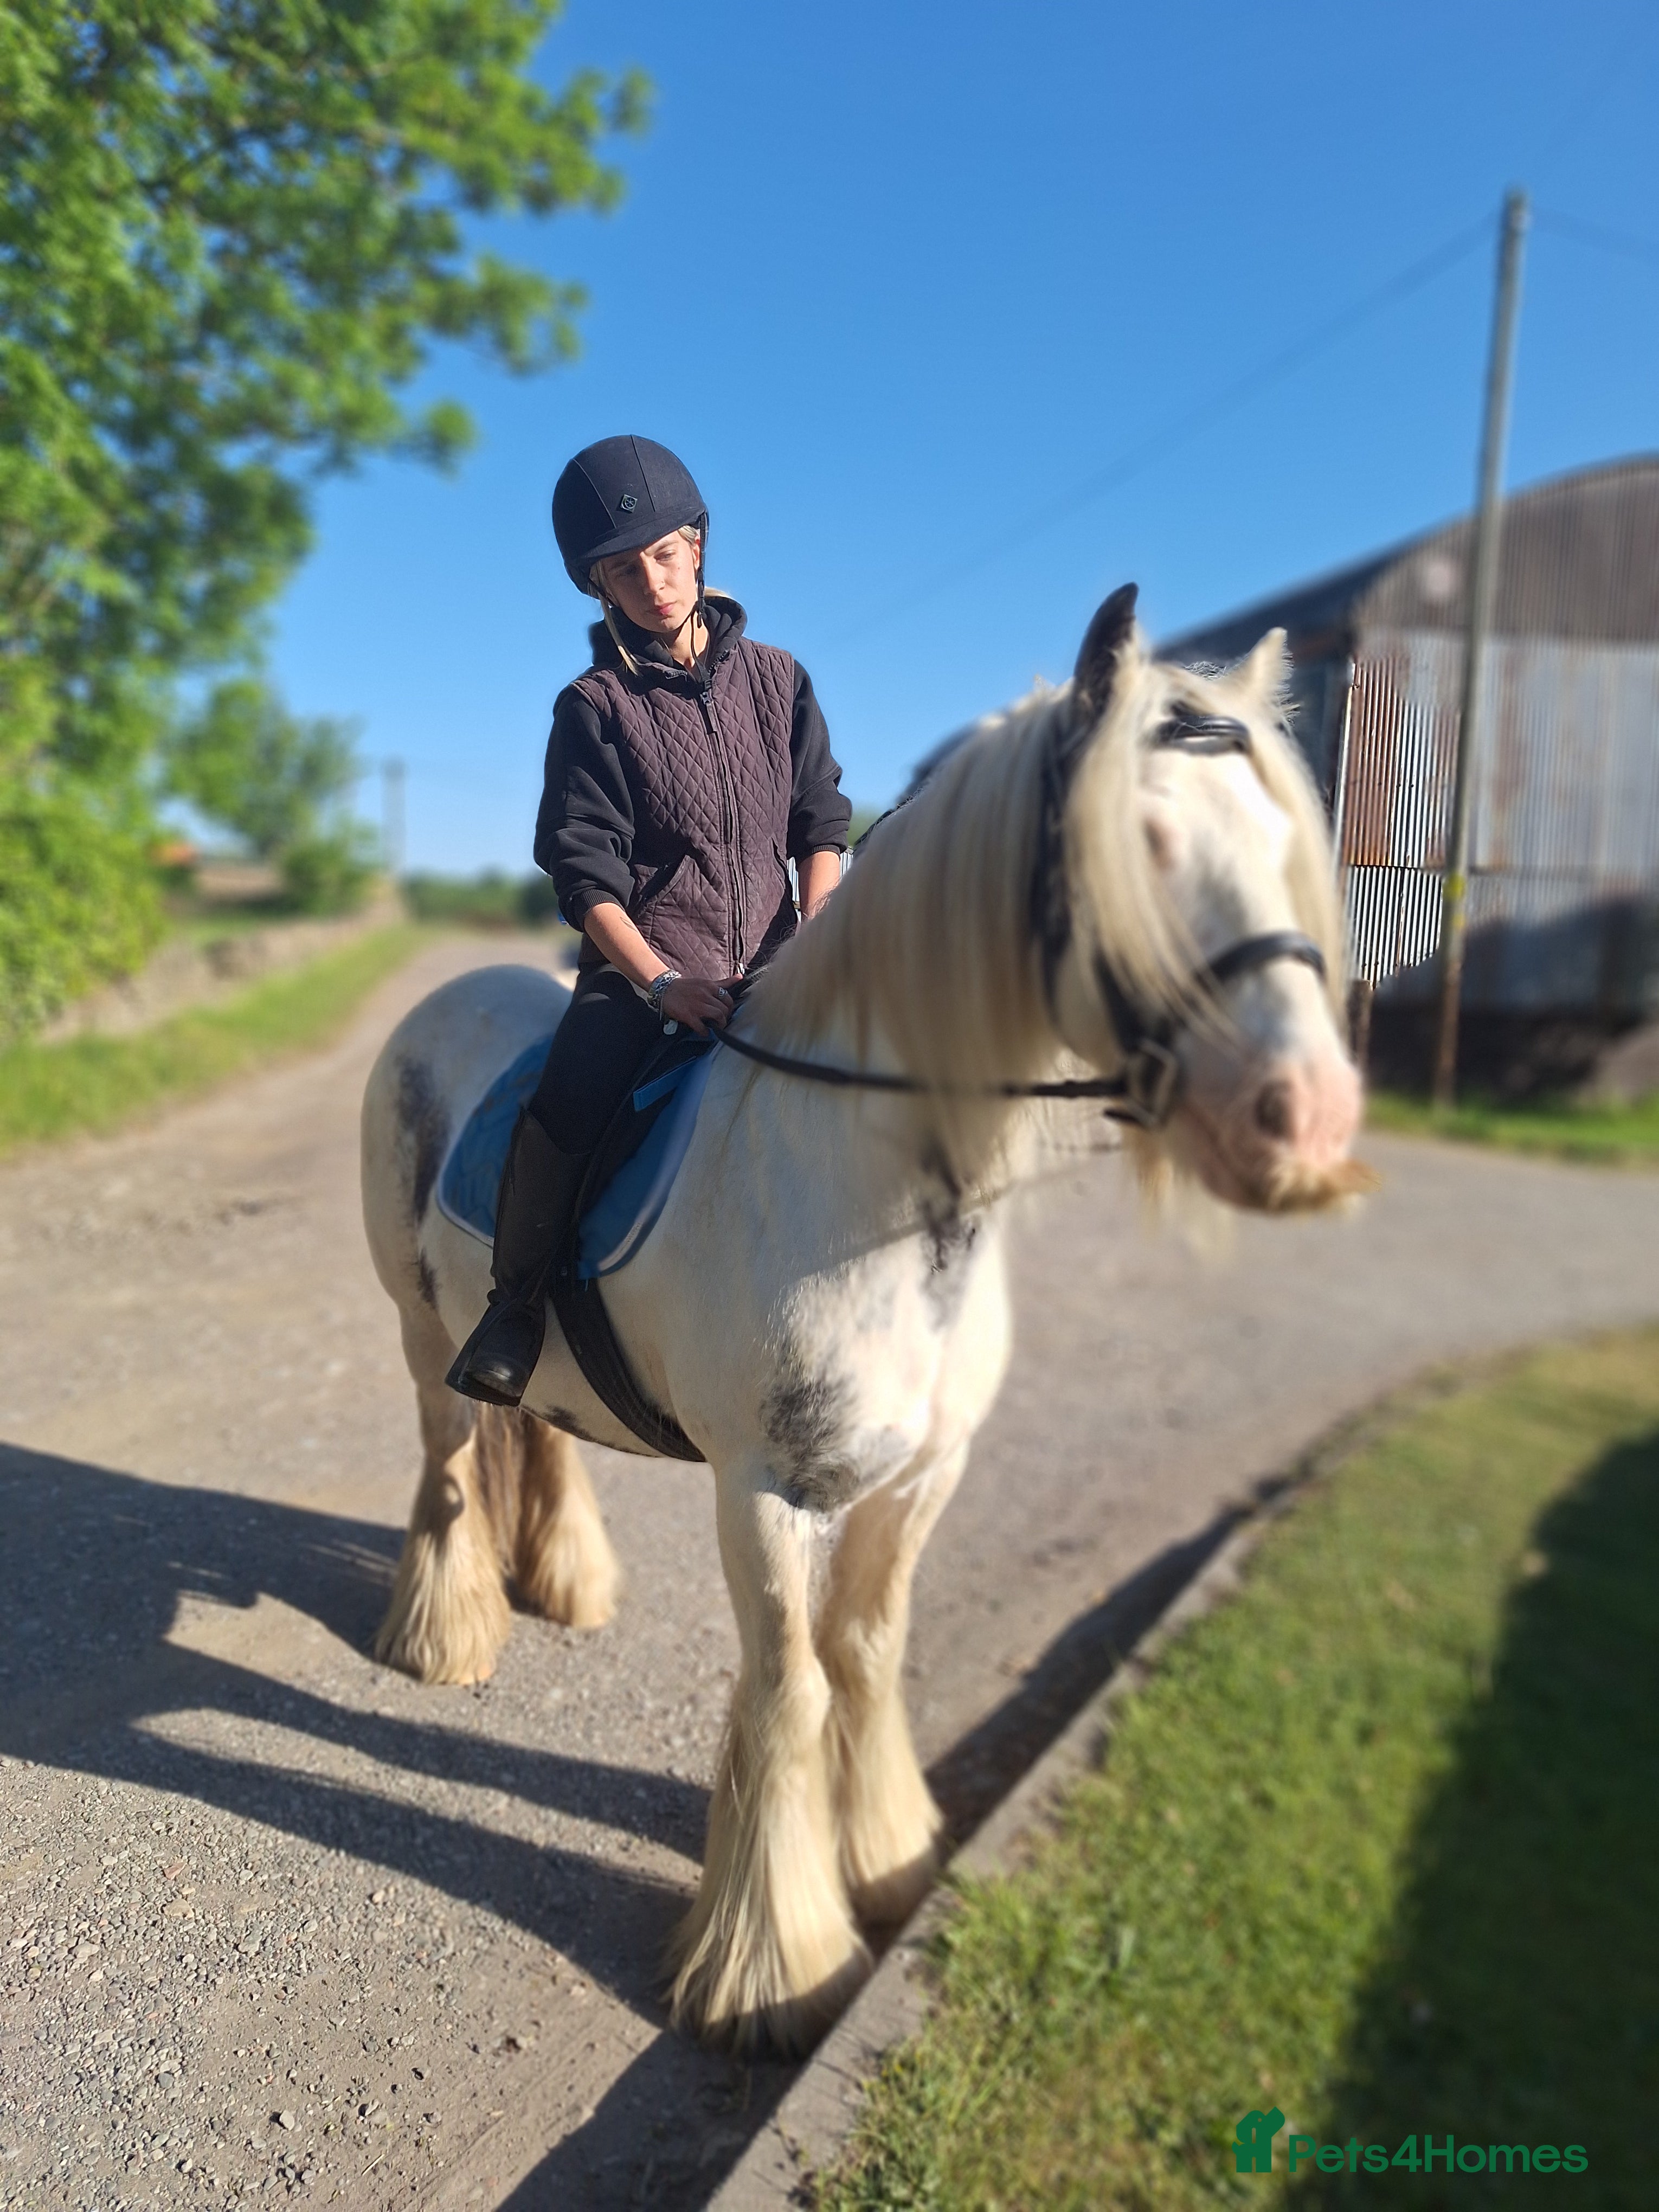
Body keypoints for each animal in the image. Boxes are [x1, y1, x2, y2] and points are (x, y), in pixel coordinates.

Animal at [358, 585, 1367, 2053]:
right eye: (1141, 840)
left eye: (1293, 837)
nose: (1311, 1122)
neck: (876, 1185)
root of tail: (446, 1000)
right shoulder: (767, 1493)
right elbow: (792, 1689)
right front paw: (775, 1961)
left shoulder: (924, 1472)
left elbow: (868, 1654)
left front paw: (887, 1855)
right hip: (422, 1331)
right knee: (446, 1465)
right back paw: (446, 1636)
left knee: (534, 1425)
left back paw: (569, 1580)